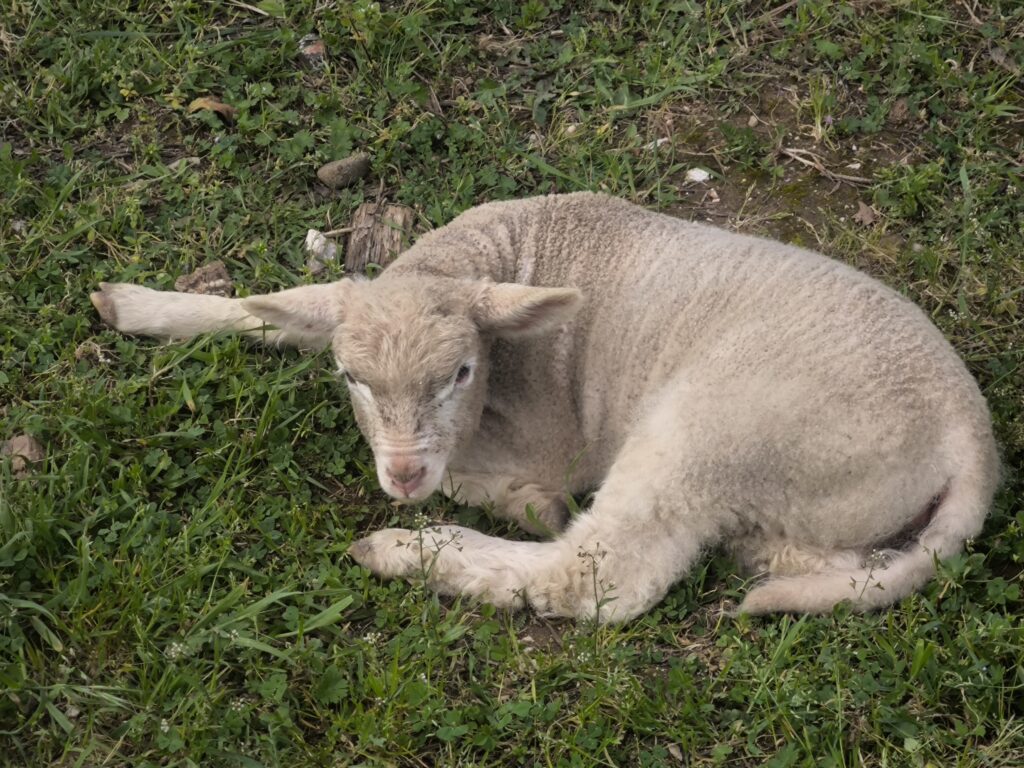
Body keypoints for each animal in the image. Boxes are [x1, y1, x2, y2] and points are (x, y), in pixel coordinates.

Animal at [90, 192, 999, 622]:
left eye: (461, 371)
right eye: (351, 379)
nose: (403, 476)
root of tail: (969, 437)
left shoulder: (542, 441)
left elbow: (522, 489)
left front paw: (505, 502)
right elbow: (280, 307)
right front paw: (140, 306)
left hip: (721, 425)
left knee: (599, 575)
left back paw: (411, 551)